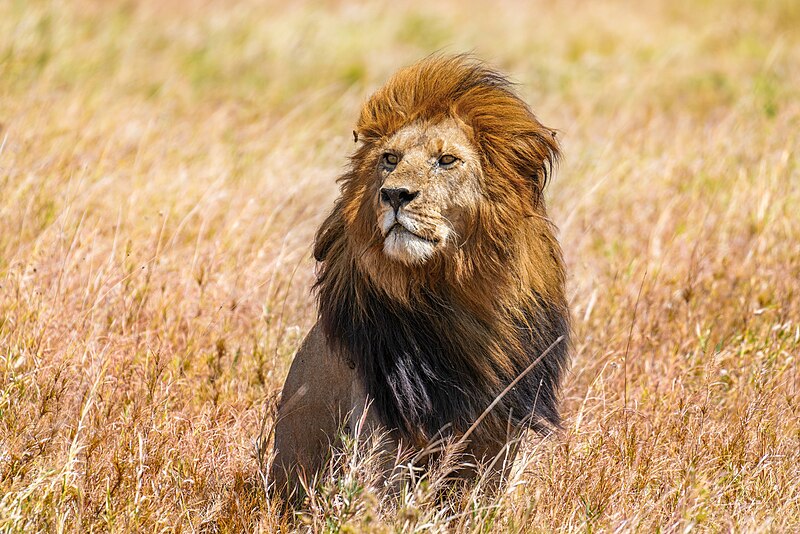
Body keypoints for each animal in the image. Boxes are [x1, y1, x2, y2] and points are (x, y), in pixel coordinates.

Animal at [272, 55, 572, 502]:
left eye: (446, 161)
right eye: (390, 159)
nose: (394, 195)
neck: (454, 293)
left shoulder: (499, 434)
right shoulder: (382, 430)